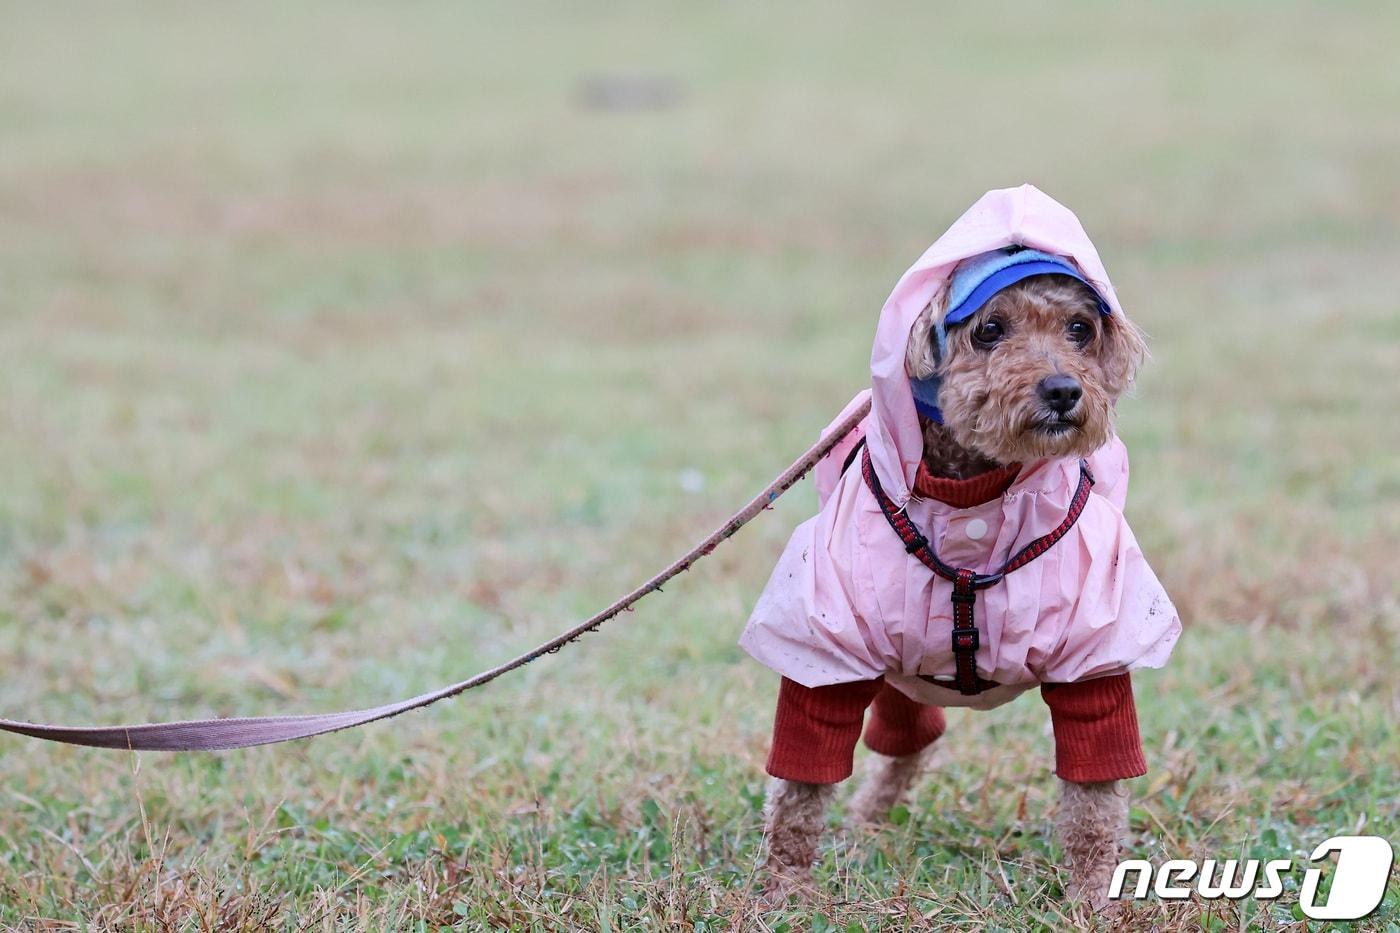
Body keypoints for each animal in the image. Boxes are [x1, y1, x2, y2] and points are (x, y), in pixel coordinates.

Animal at [744, 184, 1181, 913]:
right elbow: (803, 784)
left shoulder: (1097, 642)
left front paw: (1095, 896)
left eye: (1080, 330)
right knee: (906, 738)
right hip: (899, 672)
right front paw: (783, 892)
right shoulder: (827, 641)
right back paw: (868, 823)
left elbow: (1095, 793)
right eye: (990, 329)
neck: (971, 498)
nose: (1064, 390)